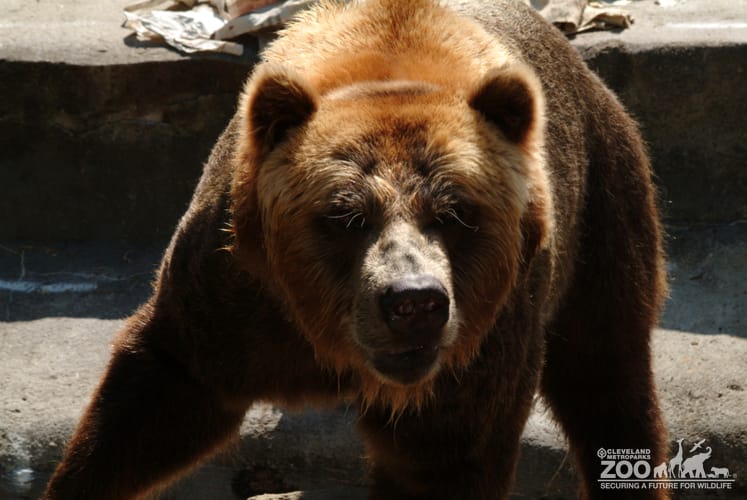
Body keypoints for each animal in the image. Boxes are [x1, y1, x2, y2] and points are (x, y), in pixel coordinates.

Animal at [43, 0, 669, 498]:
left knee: (609, 379)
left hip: (603, 210)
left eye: (456, 213)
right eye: (345, 215)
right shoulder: (233, 297)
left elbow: (446, 456)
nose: (414, 302)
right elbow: (156, 398)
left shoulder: (484, 337)